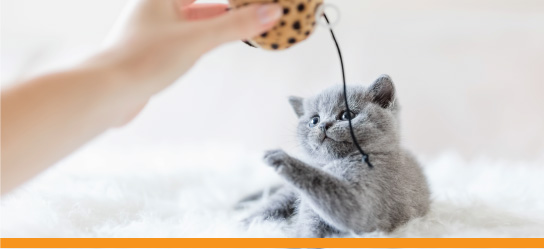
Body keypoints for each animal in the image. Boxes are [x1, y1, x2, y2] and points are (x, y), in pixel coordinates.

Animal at [244, 74, 432, 237]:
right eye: (314, 120)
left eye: (347, 115)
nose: (323, 125)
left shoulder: (366, 198)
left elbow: (329, 191)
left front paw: (282, 158)